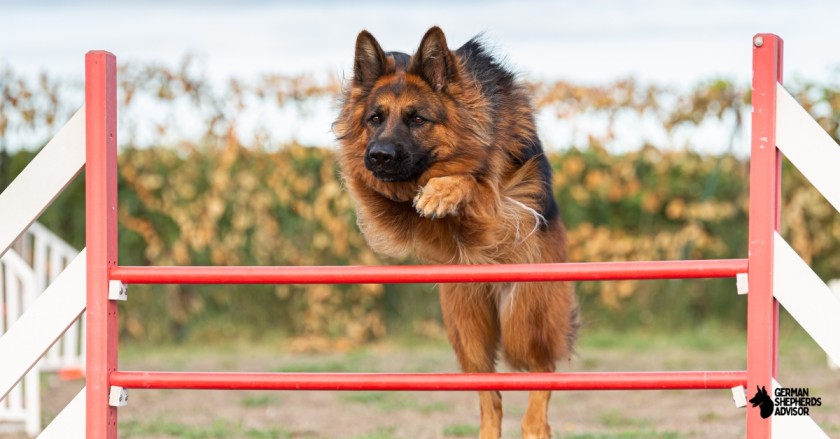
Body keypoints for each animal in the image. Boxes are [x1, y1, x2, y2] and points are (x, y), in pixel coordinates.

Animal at [334, 26, 576, 436]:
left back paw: (534, 425)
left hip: (525, 318)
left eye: (417, 118)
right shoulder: (384, 204)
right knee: (490, 397)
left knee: (542, 369)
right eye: (375, 118)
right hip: (468, 331)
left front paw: (442, 191)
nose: (378, 156)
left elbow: (473, 181)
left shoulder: (499, 205)